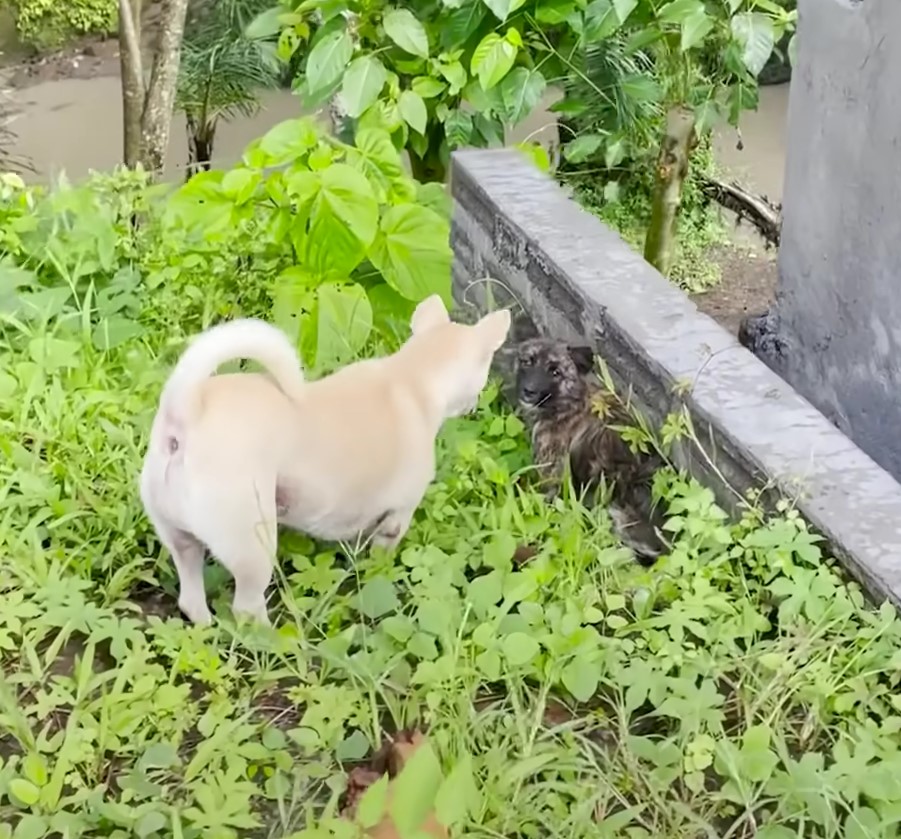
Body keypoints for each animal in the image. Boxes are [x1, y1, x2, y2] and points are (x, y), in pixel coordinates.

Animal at [137, 296, 510, 624]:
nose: (474, 404)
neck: (411, 377)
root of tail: (186, 409)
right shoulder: (397, 516)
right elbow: (382, 553)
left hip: (179, 537)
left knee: (190, 595)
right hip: (252, 544)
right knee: (247, 607)